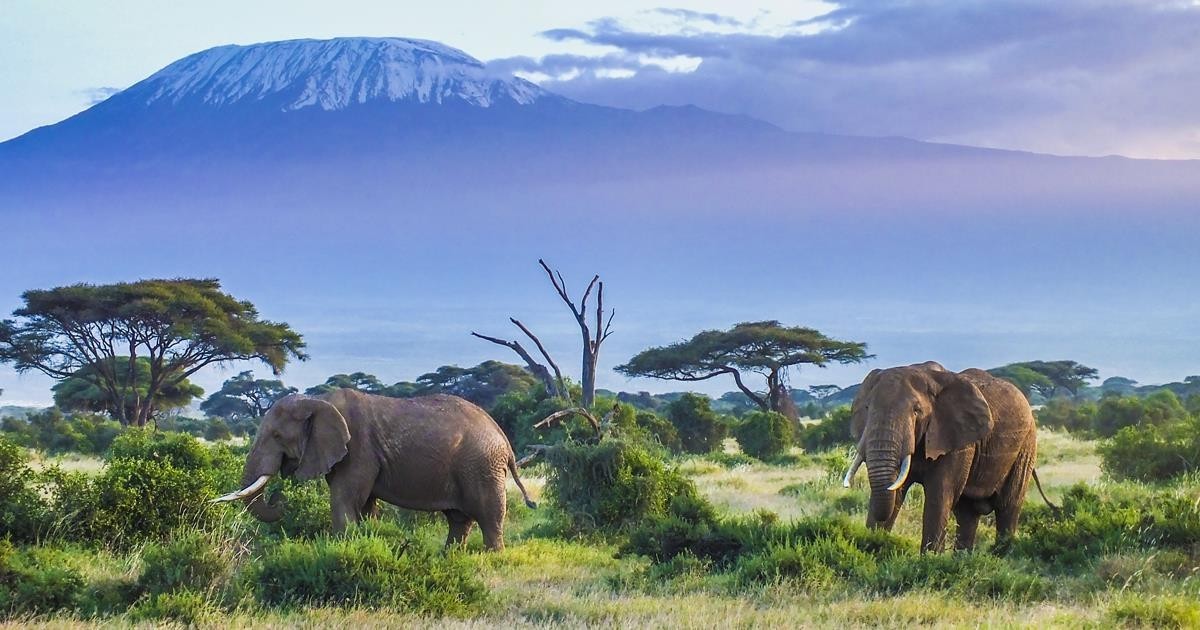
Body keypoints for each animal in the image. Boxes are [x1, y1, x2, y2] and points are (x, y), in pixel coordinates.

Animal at [212, 388, 536, 550]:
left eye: (277, 436)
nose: (280, 499)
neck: (318, 401)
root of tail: (504, 440)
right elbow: (364, 504)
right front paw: (365, 539)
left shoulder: (358, 449)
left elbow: (345, 499)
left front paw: (342, 549)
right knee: (458, 519)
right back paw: (450, 556)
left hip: (481, 466)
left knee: (489, 515)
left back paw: (492, 557)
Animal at [842, 361, 1051, 552]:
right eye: (867, 408)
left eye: (916, 410)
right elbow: (896, 490)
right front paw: (871, 548)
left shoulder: (957, 440)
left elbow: (940, 493)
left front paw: (930, 560)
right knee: (967, 513)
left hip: (1026, 447)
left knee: (1007, 507)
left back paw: (999, 557)